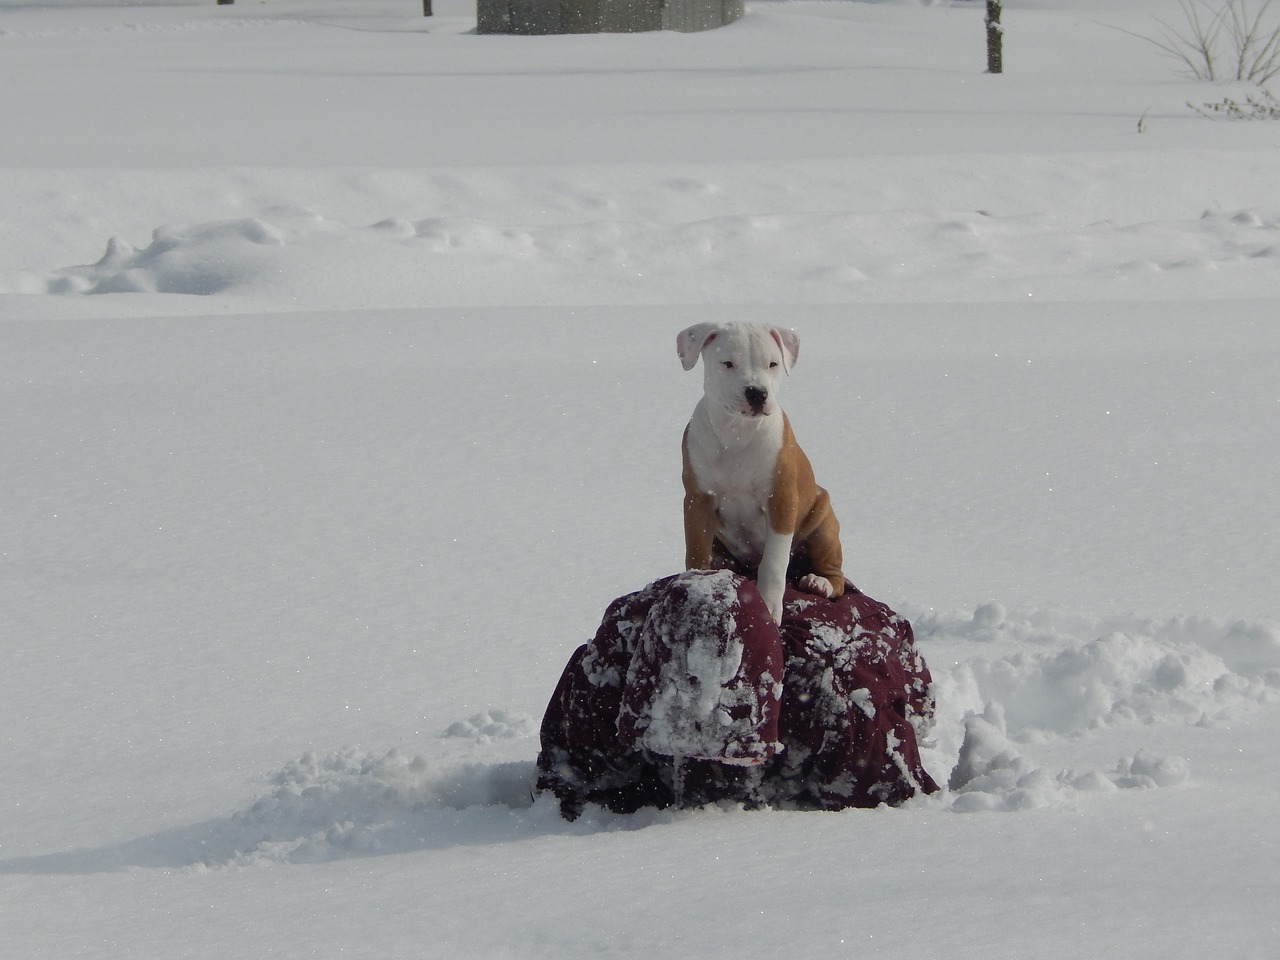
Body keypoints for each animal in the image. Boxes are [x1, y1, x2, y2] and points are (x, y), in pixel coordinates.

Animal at [675, 321, 844, 624]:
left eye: (773, 364)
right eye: (728, 363)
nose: (757, 393)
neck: (737, 432)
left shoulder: (782, 500)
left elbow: (774, 563)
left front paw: (769, 606)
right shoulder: (697, 500)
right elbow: (695, 549)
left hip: (823, 524)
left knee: (837, 577)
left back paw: (818, 582)